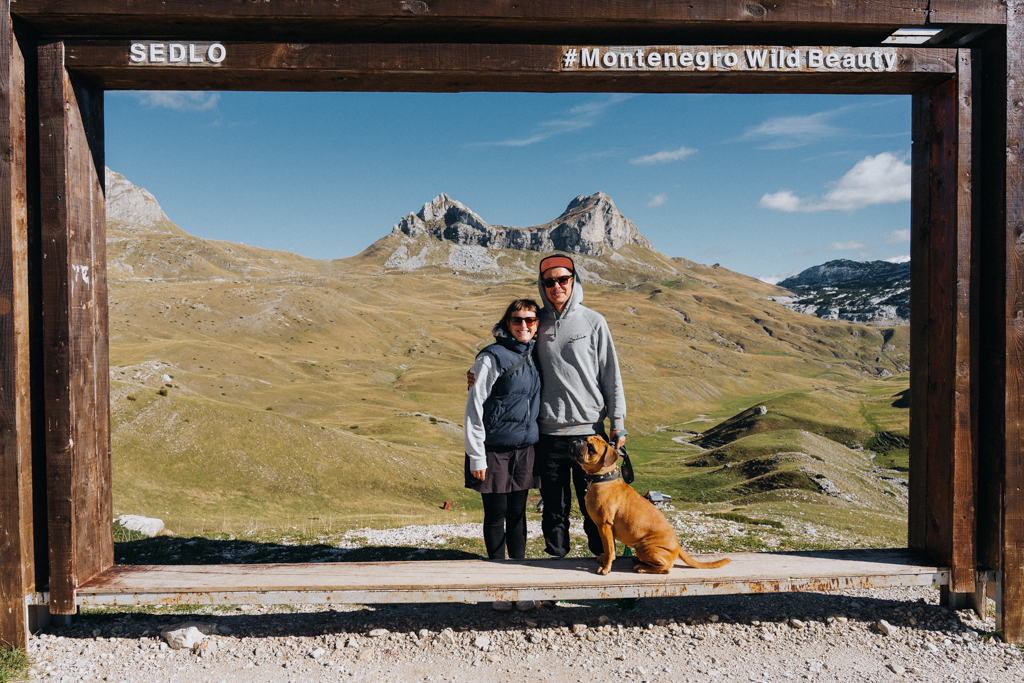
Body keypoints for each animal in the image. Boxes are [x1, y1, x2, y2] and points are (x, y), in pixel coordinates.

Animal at [573, 436, 733, 573]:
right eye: (585, 438)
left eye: (591, 448)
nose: (577, 440)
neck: (602, 478)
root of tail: (678, 546)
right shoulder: (608, 527)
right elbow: (610, 549)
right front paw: (606, 559)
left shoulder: (604, 525)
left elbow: (609, 548)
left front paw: (606, 568)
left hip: (644, 547)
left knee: (665, 568)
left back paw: (642, 567)